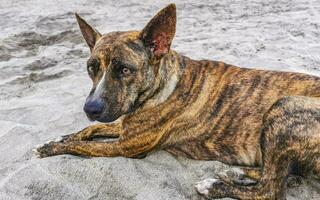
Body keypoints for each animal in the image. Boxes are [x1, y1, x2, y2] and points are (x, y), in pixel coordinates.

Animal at [35, 3, 320, 200]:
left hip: (285, 107)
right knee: (277, 174)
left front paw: (53, 148)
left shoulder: (127, 146)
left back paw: (216, 186)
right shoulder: (125, 123)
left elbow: (83, 146)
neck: (161, 85)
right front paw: (59, 138)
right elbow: (91, 129)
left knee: (271, 190)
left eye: (125, 70)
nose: (90, 108)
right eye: (91, 68)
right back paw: (235, 173)